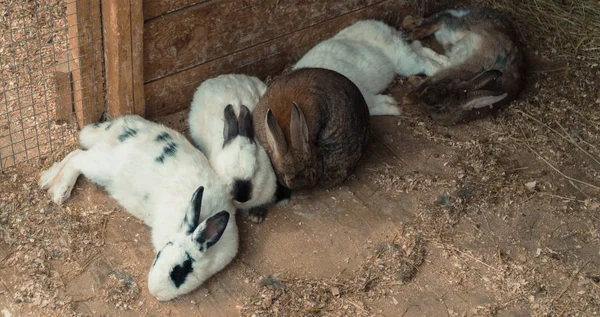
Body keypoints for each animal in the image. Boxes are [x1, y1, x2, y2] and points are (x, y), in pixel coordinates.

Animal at [37, 116, 239, 302]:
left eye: (180, 272)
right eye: (159, 255)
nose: (154, 292)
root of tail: (119, 127)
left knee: (76, 155)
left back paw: (48, 181)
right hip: (102, 165)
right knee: (77, 157)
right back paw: (57, 189)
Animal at [290, 18, 450, 116]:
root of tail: (381, 26)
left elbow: (370, 105)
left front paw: (395, 108)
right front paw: (392, 104)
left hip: (404, 62)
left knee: (424, 62)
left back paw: (440, 69)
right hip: (405, 54)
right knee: (420, 48)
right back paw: (447, 61)